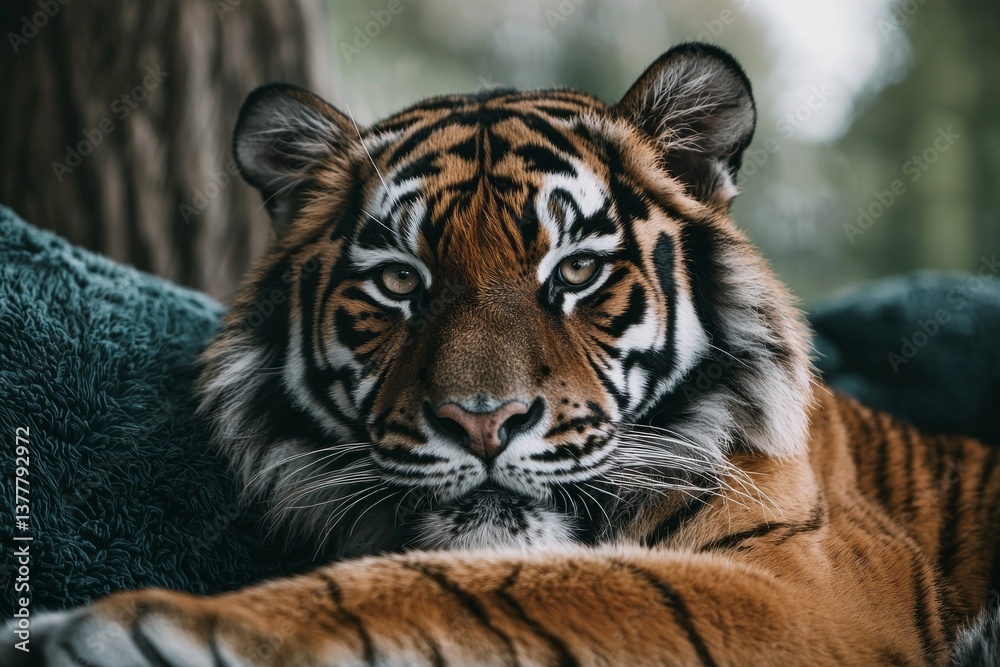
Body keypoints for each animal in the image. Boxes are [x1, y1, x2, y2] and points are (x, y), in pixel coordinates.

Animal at [6, 42, 999, 666]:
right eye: (399, 281)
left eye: (578, 270)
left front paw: (128, 627)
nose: (482, 423)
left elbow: (499, 585)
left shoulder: (805, 591)